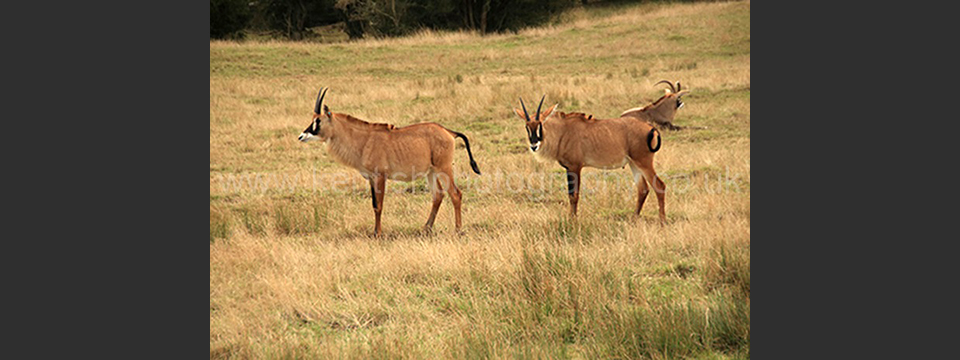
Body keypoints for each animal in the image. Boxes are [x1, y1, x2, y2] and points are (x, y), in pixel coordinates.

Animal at [298, 88, 484, 236]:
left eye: (318, 120)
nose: (302, 136)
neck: (363, 140)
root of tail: (449, 132)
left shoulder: (380, 176)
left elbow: (379, 205)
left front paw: (378, 233)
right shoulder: (371, 178)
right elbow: (374, 204)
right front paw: (374, 232)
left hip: (443, 169)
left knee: (455, 194)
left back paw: (458, 230)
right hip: (431, 172)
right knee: (438, 195)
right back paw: (426, 228)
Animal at [510, 95, 668, 222]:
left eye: (540, 124)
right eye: (527, 126)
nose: (534, 145)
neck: (563, 131)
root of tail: (650, 127)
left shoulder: (575, 167)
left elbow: (573, 195)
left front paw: (572, 220)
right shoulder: (569, 168)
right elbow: (571, 195)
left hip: (644, 162)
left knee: (659, 186)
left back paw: (662, 222)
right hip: (633, 164)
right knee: (643, 189)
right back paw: (634, 219)